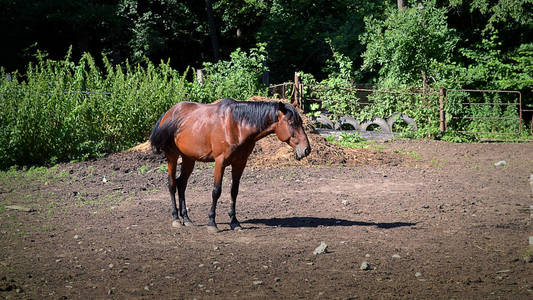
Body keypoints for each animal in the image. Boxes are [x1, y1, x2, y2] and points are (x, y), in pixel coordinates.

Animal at [149, 98, 312, 232]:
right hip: (172, 156)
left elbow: (234, 191)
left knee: (182, 184)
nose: (307, 149)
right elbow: (216, 191)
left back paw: (187, 219)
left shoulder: (240, 163)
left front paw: (234, 222)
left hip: (189, 159)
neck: (237, 126)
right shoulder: (220, 162)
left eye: (301, 123)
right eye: (291, 123)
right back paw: (176, 219)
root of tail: (168, 114)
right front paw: (212, 223)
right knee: (172, 184)